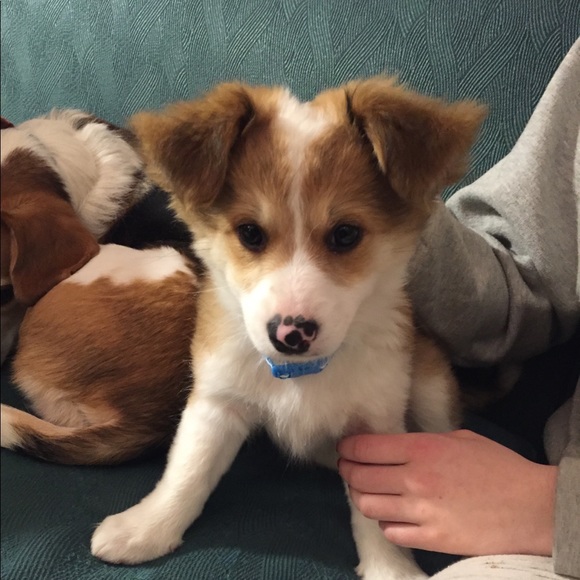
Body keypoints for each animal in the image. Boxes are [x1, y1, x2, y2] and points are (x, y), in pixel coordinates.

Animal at [90, 78, 486, 579]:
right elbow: (189, 470)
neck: (302, 374)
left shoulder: (376, 422)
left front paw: (390, 568)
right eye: (250, 233)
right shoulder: (217, 400)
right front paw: (147, 529)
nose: (290, 333)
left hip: (430, 377)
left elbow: (377, 506)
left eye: (345, 234)